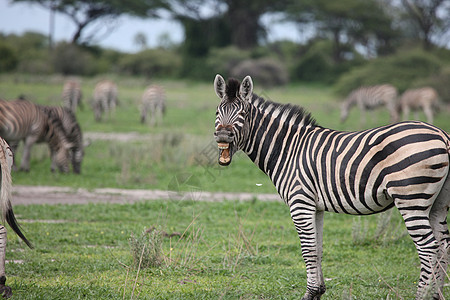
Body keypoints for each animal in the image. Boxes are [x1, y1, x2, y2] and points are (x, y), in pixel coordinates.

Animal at [214, 74, 450, 298]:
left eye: (242, 114)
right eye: (217, 112)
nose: (223, 136)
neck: (288, 149)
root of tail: (442, 136)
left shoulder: (300, 202)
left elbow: (308, 250)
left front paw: (309, 293)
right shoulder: (315, 206)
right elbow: (318, 249)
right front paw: (318, 291)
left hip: (411, 198)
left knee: (428, 248)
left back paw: (423, 295)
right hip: (437, 203)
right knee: (443, 245)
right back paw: (436, 294)